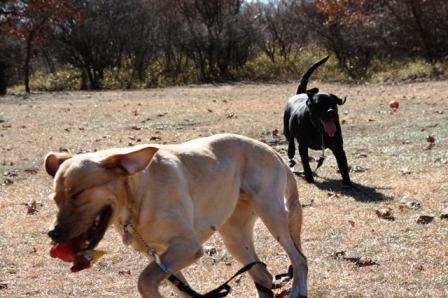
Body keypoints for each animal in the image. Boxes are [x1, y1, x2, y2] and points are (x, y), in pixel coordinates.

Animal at [286, 56, 352, 185]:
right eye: (319, 104)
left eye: (333, 102)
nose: (330, 112)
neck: (320, 131)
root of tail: (299, 93)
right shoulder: (303, 147)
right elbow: (306, 164)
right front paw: (309, 178)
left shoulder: (338, 147)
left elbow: (343, 165)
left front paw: (347, 183)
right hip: (286, 128)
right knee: (290, 140)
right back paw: (290, 153)